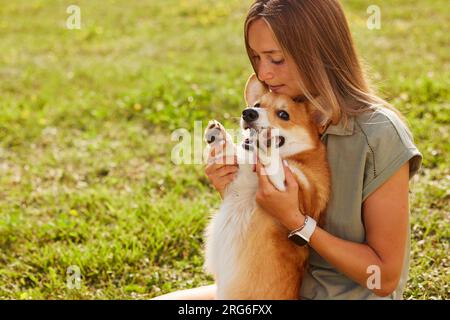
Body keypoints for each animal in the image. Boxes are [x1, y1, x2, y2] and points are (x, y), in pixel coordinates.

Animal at [204, 74, 330, 298]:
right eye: (257, 105)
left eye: (283, 114)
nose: (248, 113)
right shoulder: (237, 185)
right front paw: (218, 136)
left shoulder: (304, 195)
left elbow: (279, 167)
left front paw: (266, 145)